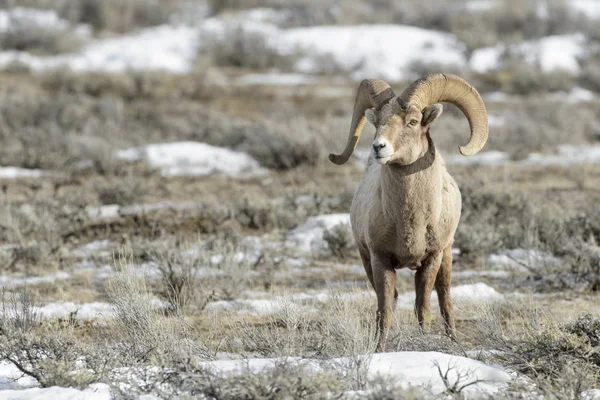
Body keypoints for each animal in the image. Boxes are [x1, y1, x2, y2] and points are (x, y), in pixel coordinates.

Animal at [328, 73, 488, 352]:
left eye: (412, 121)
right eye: (378, 122)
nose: (378, 147)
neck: (410, 220)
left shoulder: (432, 258)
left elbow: (424, 308)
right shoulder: (379, 259)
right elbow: (385, 309)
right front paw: (379, 350)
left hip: (446, 257)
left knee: (445, 300)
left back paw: (455, 342)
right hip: (366, 260)